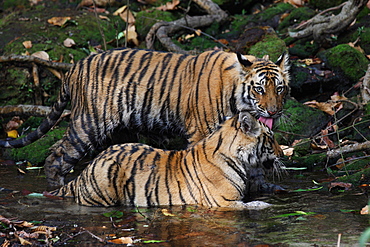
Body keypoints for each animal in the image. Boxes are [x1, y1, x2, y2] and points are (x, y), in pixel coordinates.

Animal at [0, 48, 290, 187]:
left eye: (280, 88)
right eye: (259, 88)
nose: (273, 112)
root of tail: (75, 66)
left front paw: (264, 187)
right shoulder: (201, 132)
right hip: (88, 124)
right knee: (56, 155)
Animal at [50, 112, 284, 208]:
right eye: (270, 138)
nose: (282, 154)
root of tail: (86, 170)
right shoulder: (223, 202)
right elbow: (252, 206)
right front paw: (265, 205)